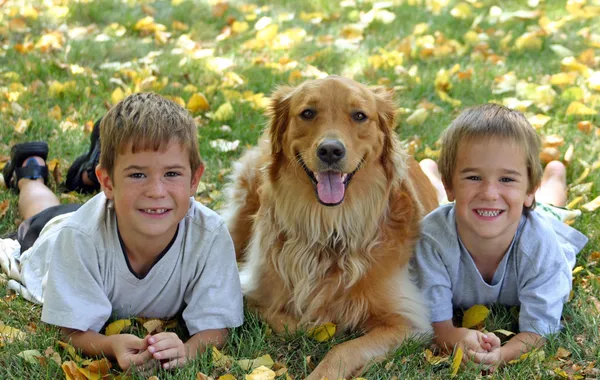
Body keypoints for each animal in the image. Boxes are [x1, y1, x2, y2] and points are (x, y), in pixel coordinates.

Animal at [223, 75, 438, 378]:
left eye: (359, 116)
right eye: (307, 113)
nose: (330, 151)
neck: (330, 227)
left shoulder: (409, 321)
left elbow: (342, 349)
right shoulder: (249, 291)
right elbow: (293, 323)